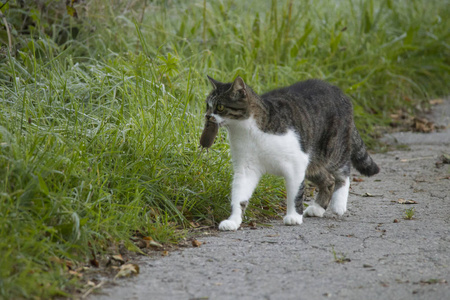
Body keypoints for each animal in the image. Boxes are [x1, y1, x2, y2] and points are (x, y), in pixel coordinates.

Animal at [204, 76, 380, 231]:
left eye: (220, 107)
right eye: (207, 105)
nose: (207, 116)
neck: (247, 131)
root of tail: (338, 91)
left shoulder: (296, 163)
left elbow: (295, 194)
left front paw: (294, 216)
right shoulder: (245, 168)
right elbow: (239, 195)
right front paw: (233, 221)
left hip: (332, 149)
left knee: (343, 172)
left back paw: (338, 204)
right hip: (313, 161)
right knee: (328, 180)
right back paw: (317, 208)